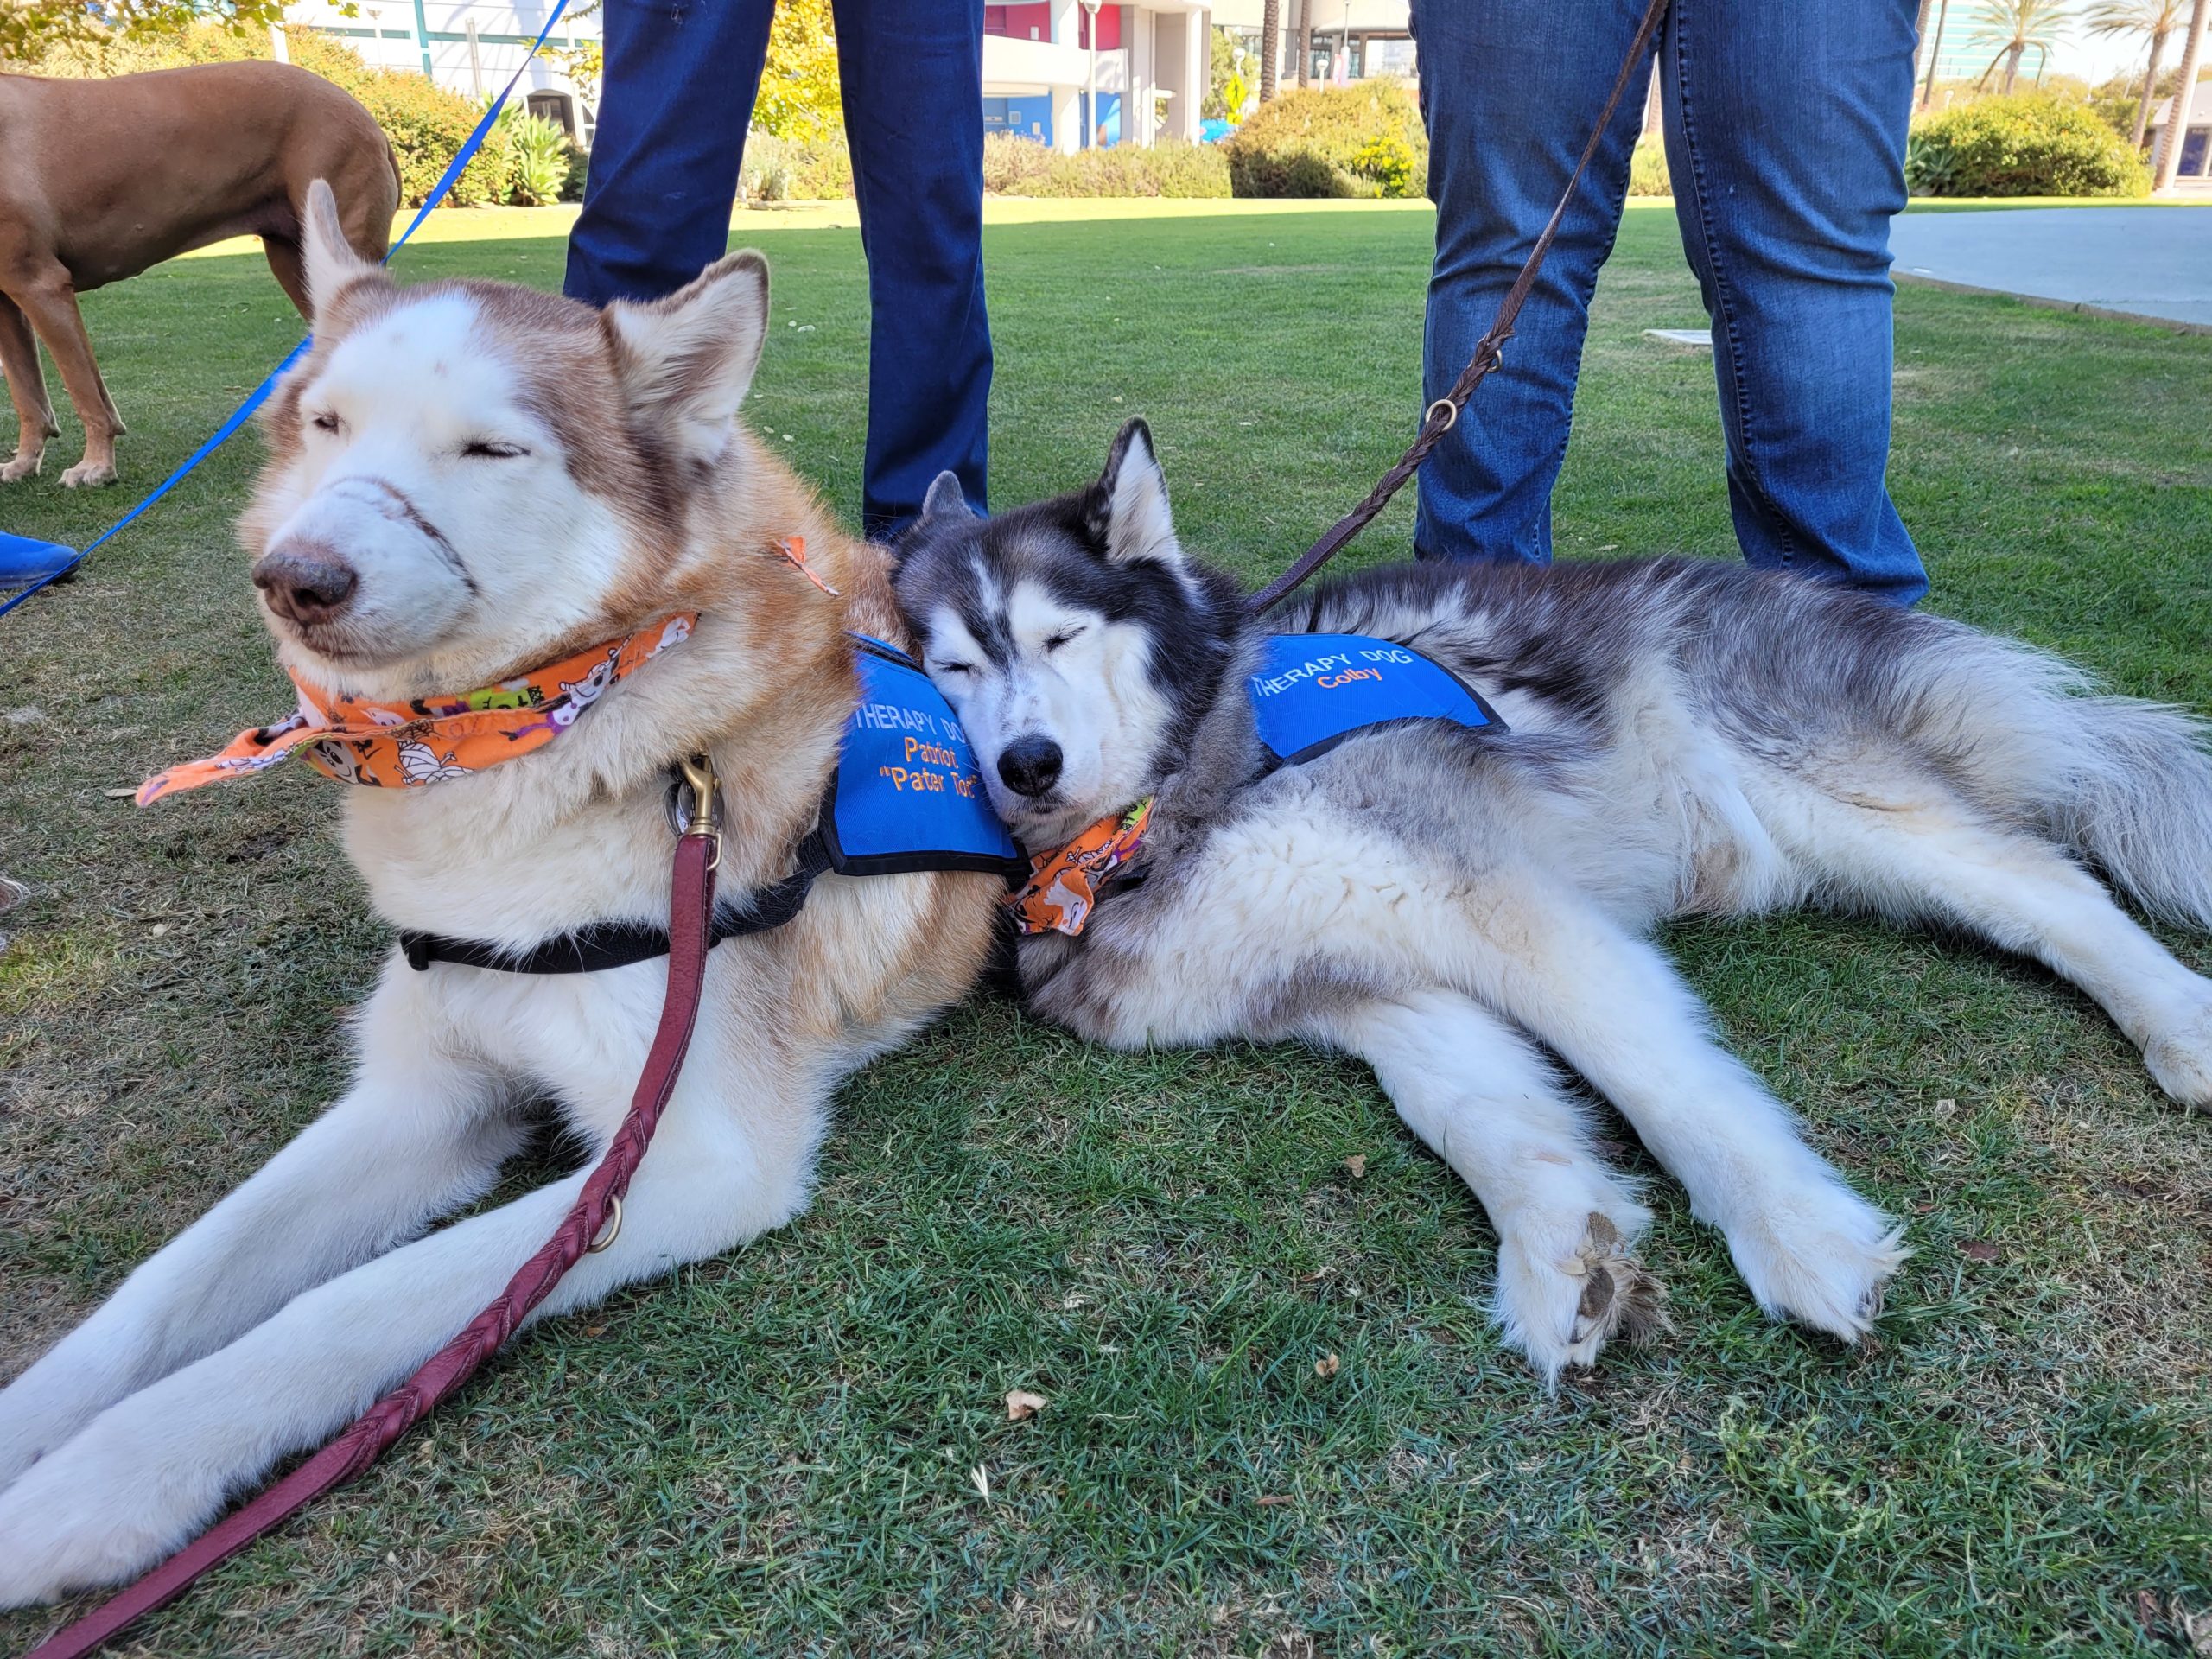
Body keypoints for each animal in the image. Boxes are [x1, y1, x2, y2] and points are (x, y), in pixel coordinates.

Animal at [0, 60, 393, 486]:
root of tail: (361, 111)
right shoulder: (9, 301)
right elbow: (28, 395)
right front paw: (24, 462)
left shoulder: (42, 284)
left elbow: (82, 389)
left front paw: (96, 466)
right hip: (298, 262)